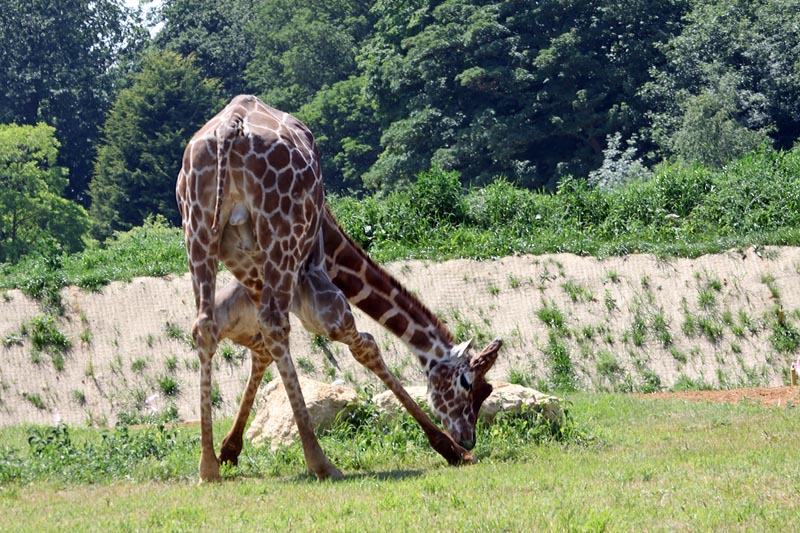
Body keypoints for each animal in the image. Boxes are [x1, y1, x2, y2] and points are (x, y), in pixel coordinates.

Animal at [176, 95, 501, 482]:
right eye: (468, 383)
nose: (467, 438)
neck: (332, 246)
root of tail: (231, 127)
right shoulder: (316, 287)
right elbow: (367, 346)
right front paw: (448, 450)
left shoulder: (253, 279)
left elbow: (261, 351)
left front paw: (229, 450)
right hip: (279, 233)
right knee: (274, 325)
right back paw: (321, 462)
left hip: (197, 229)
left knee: (206, 327)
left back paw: (207, 467)